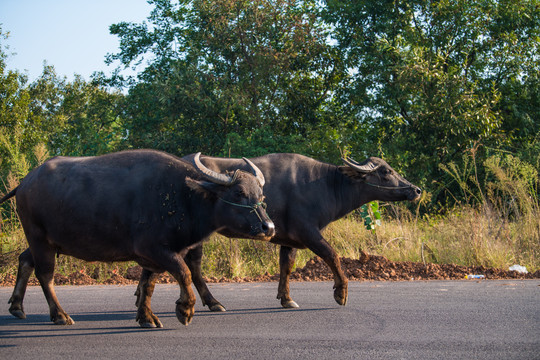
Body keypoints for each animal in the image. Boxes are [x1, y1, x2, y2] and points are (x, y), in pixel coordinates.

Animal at [1, 149, 274, 326]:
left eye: (260, 194)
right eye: (238, 193)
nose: (268, 227)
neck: (183, 196)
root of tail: (25, 182)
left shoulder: (154, 256)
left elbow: (148, 284)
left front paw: (146, 317)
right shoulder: (154, 249)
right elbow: (184, 273)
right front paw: (184, 310)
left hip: (45, 241)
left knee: (25, 260)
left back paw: (17, 307)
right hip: (39, 239)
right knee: (45, 275)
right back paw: (60, 315)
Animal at [136, 153, 422, 312]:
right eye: (385, 171)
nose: (416, 190)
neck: (326, 185)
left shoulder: (289, 240)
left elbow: (287, 266)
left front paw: (286, 299)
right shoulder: (309, 232)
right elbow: (332, 255)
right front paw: (341, 293)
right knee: (193, 266)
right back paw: (213, 302)